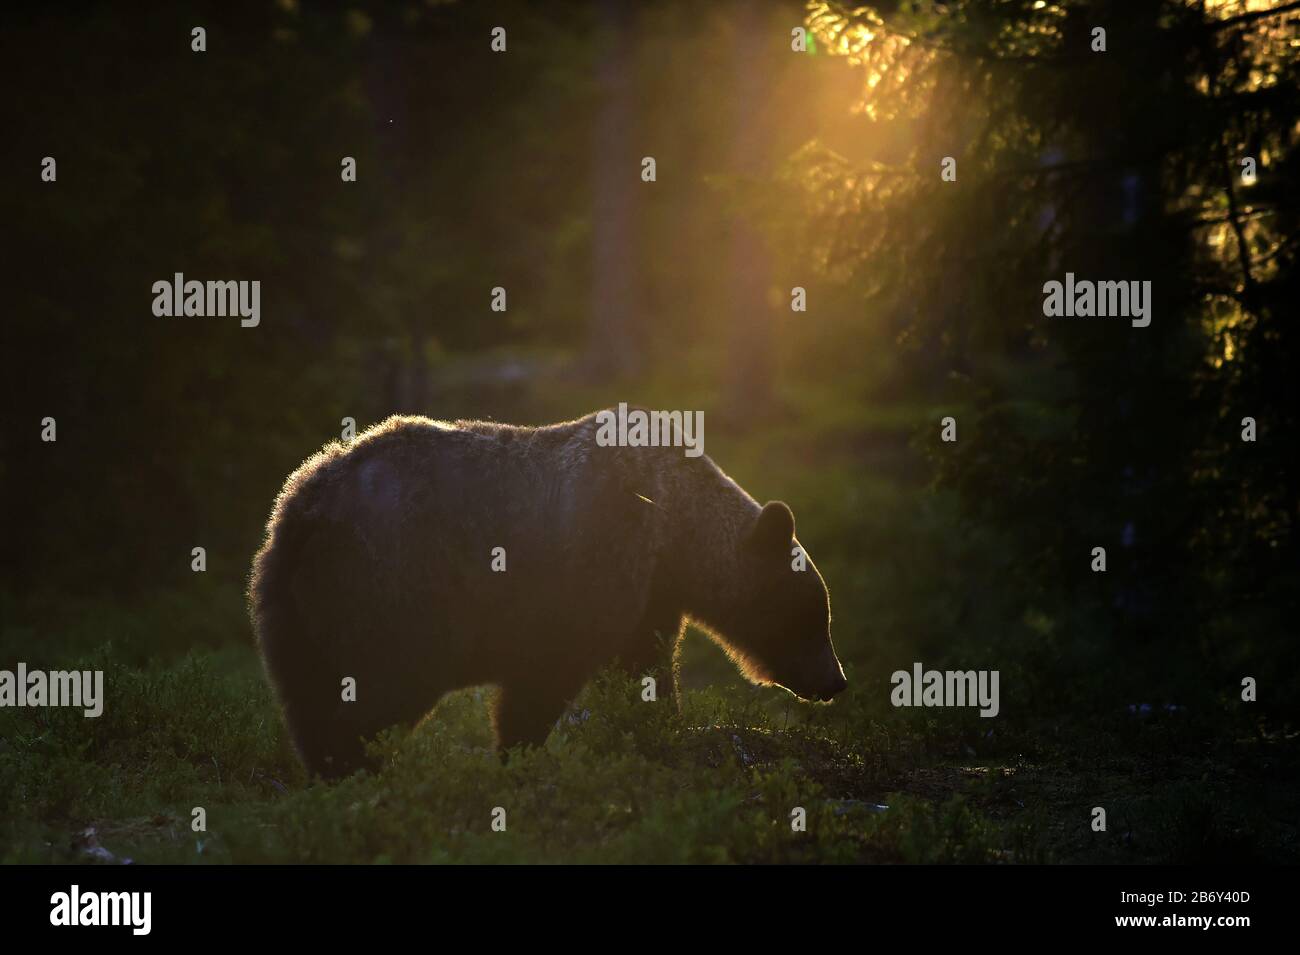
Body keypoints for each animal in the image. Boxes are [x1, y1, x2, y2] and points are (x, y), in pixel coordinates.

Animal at [248, 410, 847, 779]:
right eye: (815, 615)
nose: (835, 680)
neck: (675, 534)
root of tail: (305, 505)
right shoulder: (593, 561)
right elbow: (545, 676)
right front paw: (519, 752)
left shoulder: (649, 597)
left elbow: (646, 668)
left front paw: (659, 727)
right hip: (391, 586)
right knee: (379, 687)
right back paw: (359, 767)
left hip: (289, 602)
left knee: (307, 693)